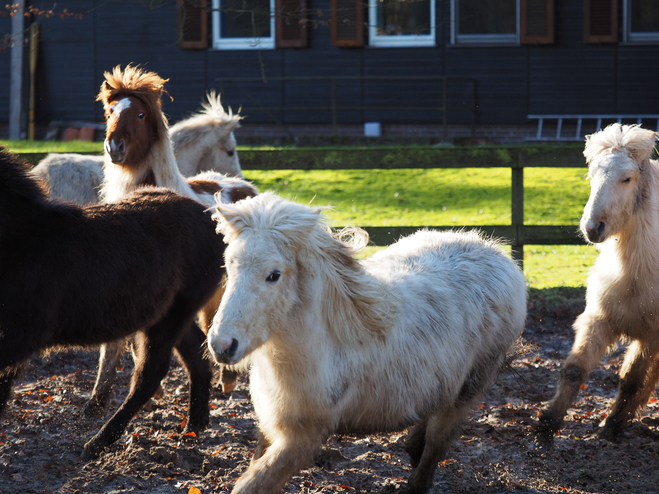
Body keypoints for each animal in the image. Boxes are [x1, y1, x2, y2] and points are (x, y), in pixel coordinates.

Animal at [0, 149, 224, 458]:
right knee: (196, 356)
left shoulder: (22, 334)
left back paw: (97, 444)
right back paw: (194, 426)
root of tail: (211, 221)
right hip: (170, 314)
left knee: (149, 375)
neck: (23, 241)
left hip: (172, 317)